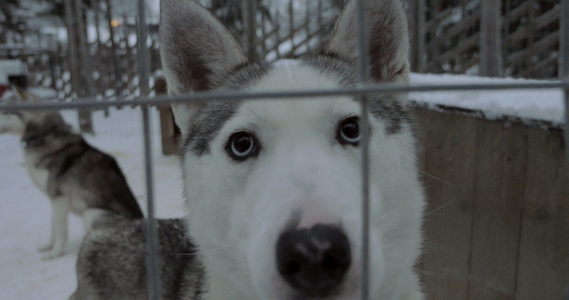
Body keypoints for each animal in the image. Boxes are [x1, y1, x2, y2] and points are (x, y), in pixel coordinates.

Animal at [0, 88, 142, 258]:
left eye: (4, 111)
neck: (44, 134)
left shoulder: (59, 197)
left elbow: (61, 230)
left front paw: (55, 253)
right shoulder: (53, 198)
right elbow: (53, 228)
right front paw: (49, 246)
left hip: (90, 215)